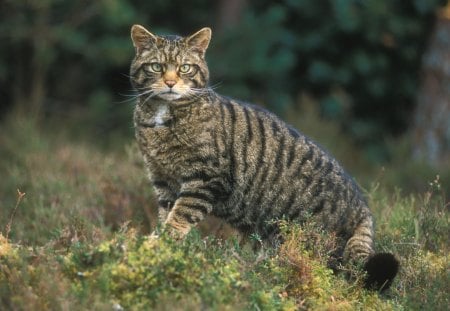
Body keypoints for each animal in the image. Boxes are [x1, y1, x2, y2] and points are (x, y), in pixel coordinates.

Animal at [129, 25, 398, 292]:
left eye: (185, 67)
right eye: (157, 67)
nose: (170, 82)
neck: (161, 120)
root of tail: (363, 208)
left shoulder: (205, 179)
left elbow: (180, 216)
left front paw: (161, 243)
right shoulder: (163, 181)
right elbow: (166, 214)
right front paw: (159, 243)